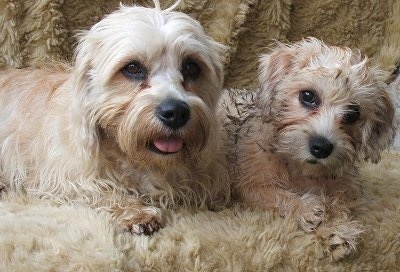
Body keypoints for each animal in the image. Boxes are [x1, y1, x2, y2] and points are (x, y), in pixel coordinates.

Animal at [0, 0, 230, 235]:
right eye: (132, 68)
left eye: (191, 67)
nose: (176, 112)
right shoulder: (64, 178)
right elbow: (101, 190)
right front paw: (137, 212)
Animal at [222, 37, 396, 260]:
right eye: (308, 96)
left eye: (353, 114)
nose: (322, 147)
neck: (301, 170)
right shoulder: (250, 185)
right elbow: (277, 195)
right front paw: (305, 208)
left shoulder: (347, 188)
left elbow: (340, 204)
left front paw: (336, 228)